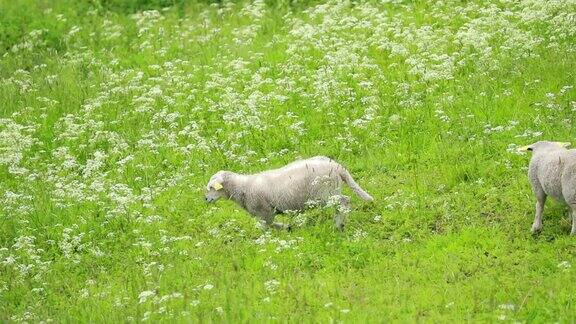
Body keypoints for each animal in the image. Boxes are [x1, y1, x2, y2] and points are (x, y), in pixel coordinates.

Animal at [204, 156, 374, 230]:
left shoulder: (265, 211)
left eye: (212, 187)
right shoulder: (267, 212)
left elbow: (266, 226)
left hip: (326, 192)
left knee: (344, 201)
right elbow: (272, 224)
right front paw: (286, 227)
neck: (243, 187)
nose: (206, 199)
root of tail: (338, 167)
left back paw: (339, 225)